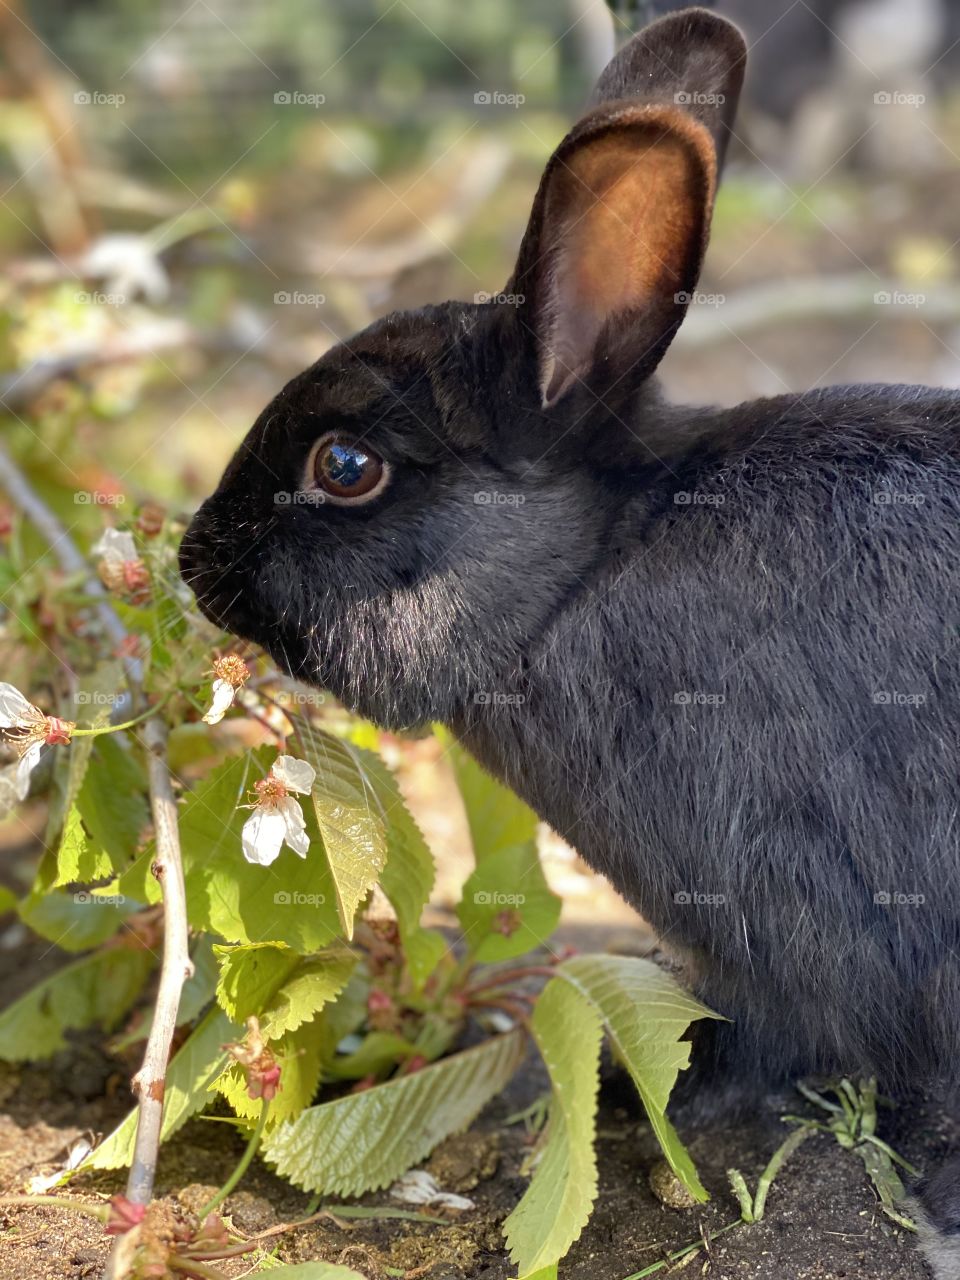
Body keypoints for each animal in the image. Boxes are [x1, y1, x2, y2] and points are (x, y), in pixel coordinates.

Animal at [180, 7, 960, 1273]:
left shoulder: (784, 920)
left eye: (344, 465)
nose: (196, 561)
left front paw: (652, 1099)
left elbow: (769, 1039)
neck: (584, 572)